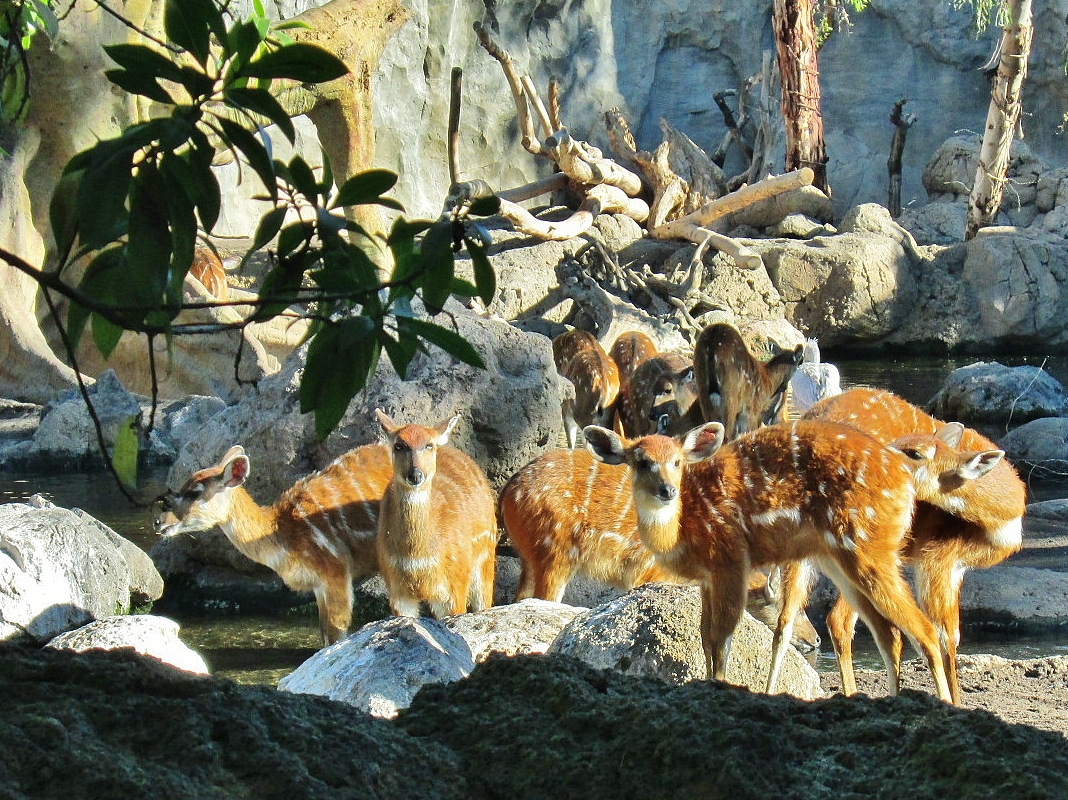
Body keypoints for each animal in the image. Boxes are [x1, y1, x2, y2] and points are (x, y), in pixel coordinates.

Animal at [373, 412, 497, 619]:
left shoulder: (455, 588)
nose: (415, 475)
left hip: (485, 559)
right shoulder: (398, 593)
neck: (417, 558)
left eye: (428, 445)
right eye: (399, 445)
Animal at [497, 446, 815, 653]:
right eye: (789, 608)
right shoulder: (647, 574)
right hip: (555, 555)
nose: (816, 640)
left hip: (531, 558)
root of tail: (508, 491)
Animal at [589, 418, 956, 700]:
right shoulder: (708, 577)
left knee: (924, 630)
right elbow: (704, 635)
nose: (667, 490)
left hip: (869, 547)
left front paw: (720, 686)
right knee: (888, 632)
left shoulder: (731, 559)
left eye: (678, 461)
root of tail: (906, 484)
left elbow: (722, 636)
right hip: (839, 560)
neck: (684, 530)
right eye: (641, 461)